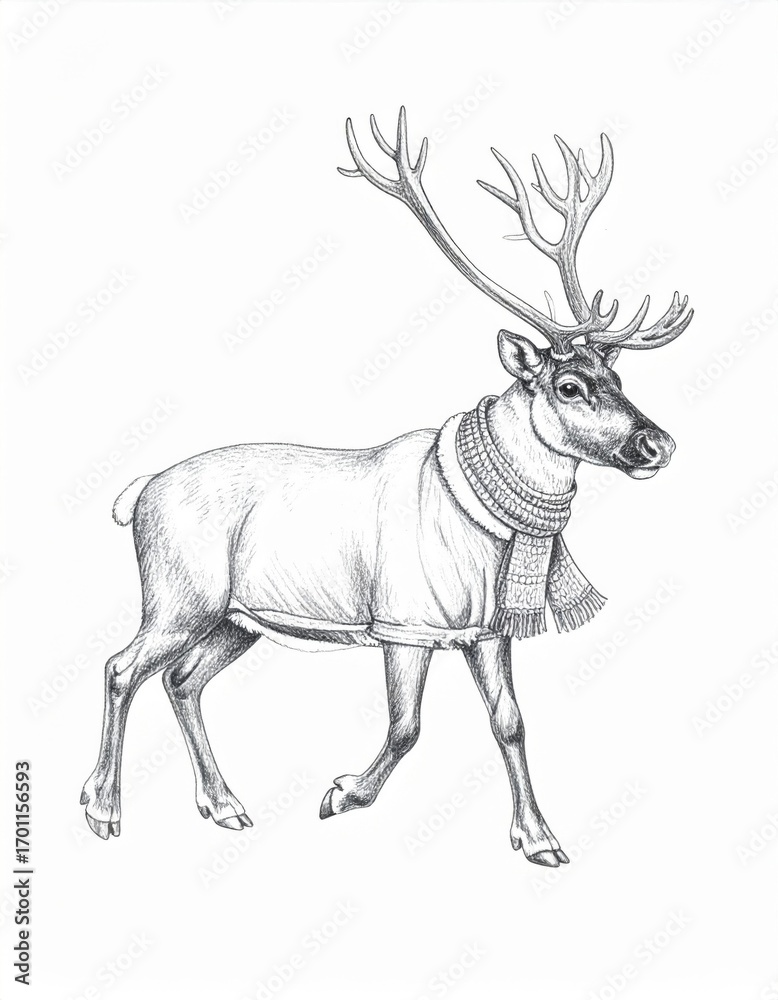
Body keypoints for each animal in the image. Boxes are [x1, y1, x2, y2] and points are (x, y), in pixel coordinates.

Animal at [81, 108, 692, 866]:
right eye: (569, 385)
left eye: (619, 378)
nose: (656, 444)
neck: (485, 532)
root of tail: (137, 493)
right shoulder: (405, 623)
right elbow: (407, 726)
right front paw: (342, 793)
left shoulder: (487, 630)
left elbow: (511, 722)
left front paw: (540, 839)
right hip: (179, 595)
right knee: (121, 666)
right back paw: (102, 808)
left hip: (236, 618)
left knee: (180, 679)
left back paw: (223, 804)